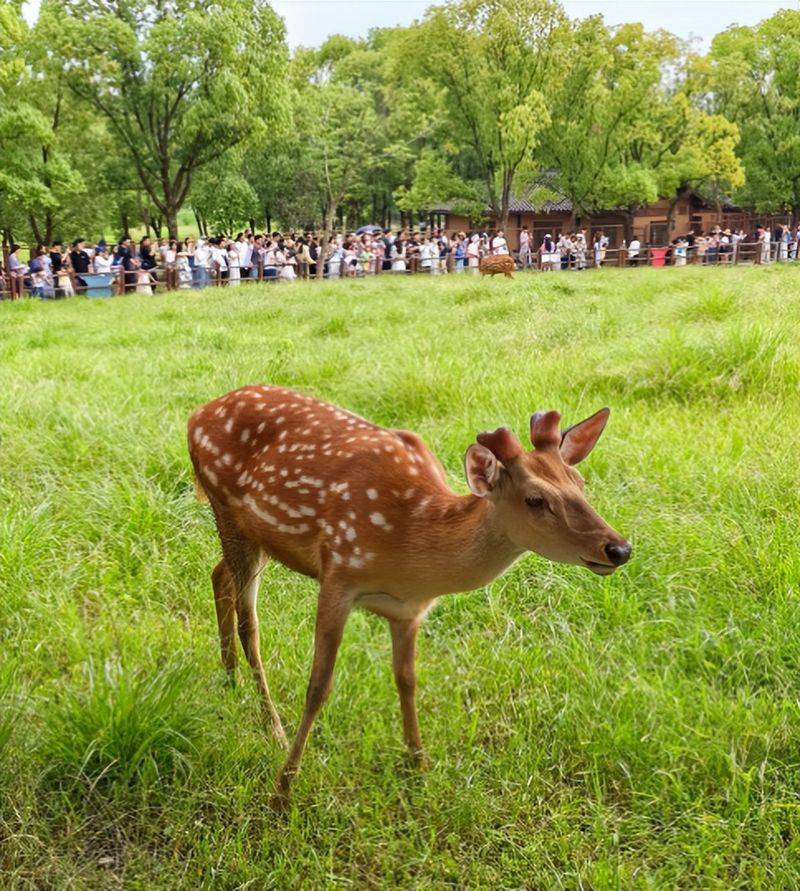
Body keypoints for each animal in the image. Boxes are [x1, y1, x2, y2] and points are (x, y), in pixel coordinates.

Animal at [188, 384, 631, 804]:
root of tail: (197, 414)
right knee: (249, 624)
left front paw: (418, 766)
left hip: (255, 536)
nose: (619, 548)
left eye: (581, 484)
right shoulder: (338, 574)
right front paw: (283, 788)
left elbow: (407, 679)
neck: (410, 546)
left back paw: (230, 679)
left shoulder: (409, 611)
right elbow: (318, 687)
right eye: (536, 499)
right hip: (229, 511)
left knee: (218, 575)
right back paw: (272, 726)